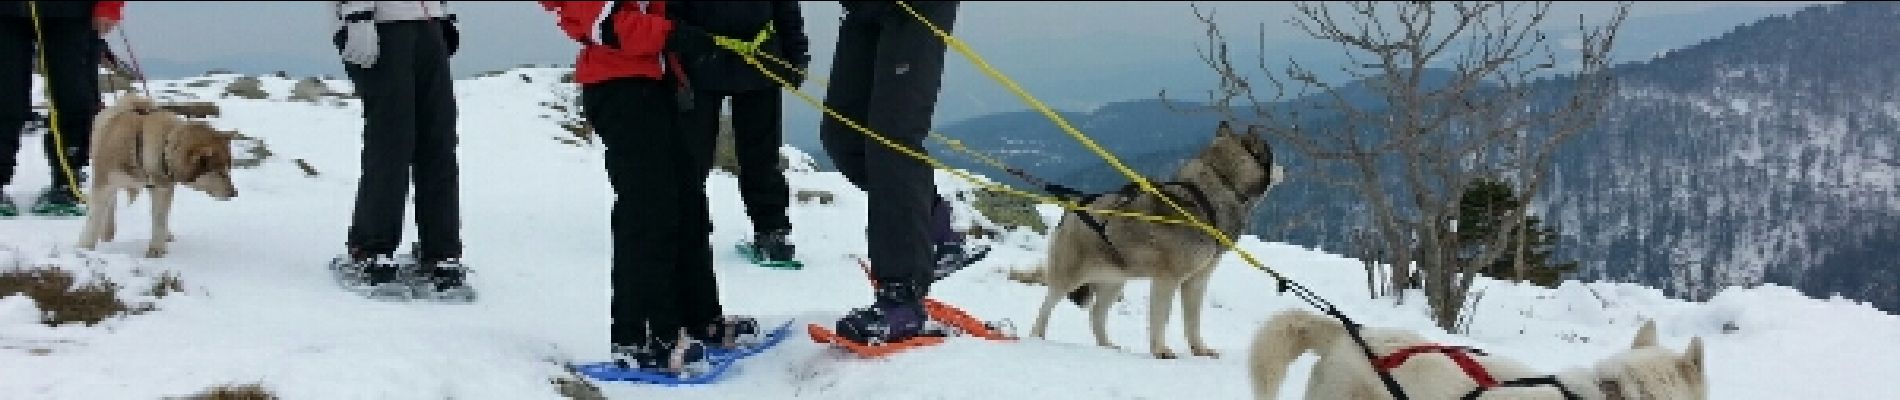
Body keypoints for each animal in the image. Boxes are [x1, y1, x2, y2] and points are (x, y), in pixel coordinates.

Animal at [79, 94, 239, 257]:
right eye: (219, 172)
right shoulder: (104, 184)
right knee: (110, 206)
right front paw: (84, 248)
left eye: (228, 169)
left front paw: (156, 249)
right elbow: (93, 219)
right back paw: (107, 232)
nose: (234, 193)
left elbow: (160, 219)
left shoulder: (162, 188)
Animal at [1010, 120, 1292, 358]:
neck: (1212, 192)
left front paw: (1200, 350)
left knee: (1096, 314)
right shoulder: (1166, 280)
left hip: (1114, 282)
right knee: (1046, 306)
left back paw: (1107, 346)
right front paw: (1161, 350)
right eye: (1273, 155)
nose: (1286, 169)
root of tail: (1072, 208)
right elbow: (1161, 318)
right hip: (1070, 278)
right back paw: (1038, 337)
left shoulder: (1195, 282)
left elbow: (1193, 322)